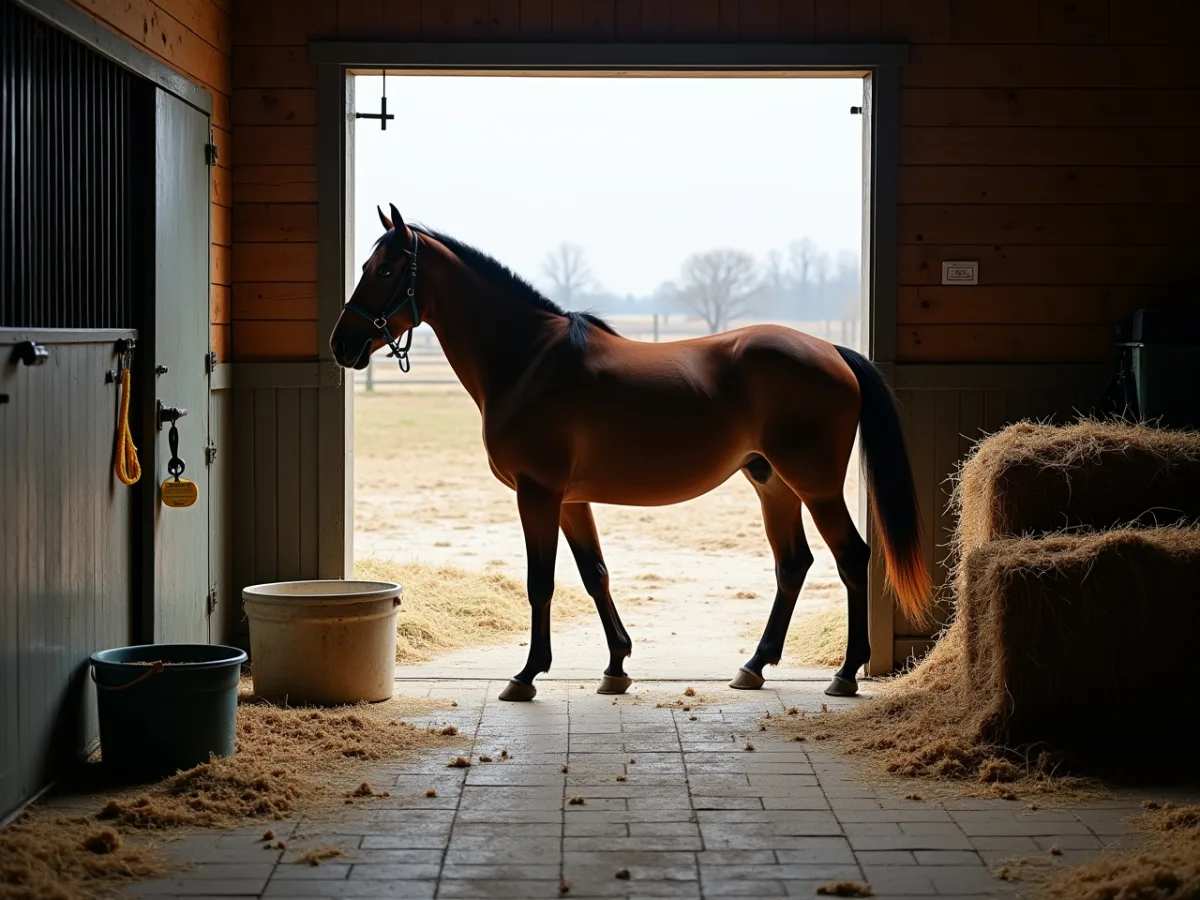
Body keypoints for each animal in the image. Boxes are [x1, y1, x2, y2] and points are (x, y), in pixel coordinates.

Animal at [331, 203, 933, 701]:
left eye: (384, 270)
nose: (342, 344)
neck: (527, 360)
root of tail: (831, 349)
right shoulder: (570, 500)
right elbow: (594, 572)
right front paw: (616, 666)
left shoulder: (538, 493)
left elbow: (541, 581)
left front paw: (526, 675)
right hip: (772, 482)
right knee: (794, 564)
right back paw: (754, 666)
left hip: (815, 484)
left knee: (852, 557)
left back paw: (845, 673)